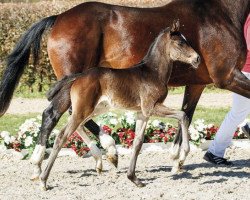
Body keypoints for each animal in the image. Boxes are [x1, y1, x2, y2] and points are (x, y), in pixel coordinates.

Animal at [39, 21, 200, 190]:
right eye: (180, 42)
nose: (197, 59)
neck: (153, 73)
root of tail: (78, 76)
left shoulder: (143, 113)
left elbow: (138, 143)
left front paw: (133, 178)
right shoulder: (151, 107)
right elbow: (183, 115)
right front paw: (181, 156)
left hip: (95, 109)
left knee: (78, 126)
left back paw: (102, 160)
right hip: (83, 110)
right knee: (62, 135)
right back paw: (43, 179)